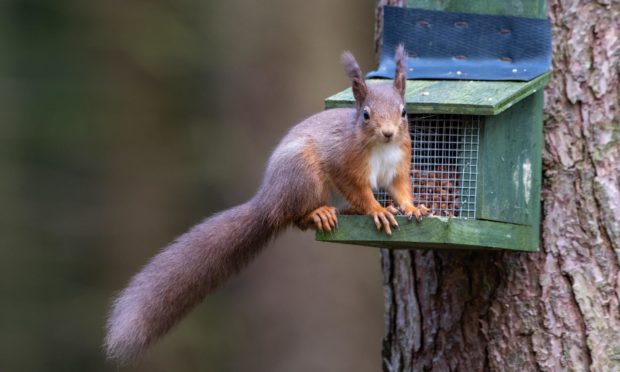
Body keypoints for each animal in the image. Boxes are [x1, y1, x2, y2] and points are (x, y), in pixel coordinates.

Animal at [105, 44, 426, 364]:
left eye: (404, 112)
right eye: (366, 115)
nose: (388, 133)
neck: (382, 148)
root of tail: (268, 201)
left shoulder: (398, 167)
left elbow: (400, 190)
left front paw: (411, 208)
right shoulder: (344, 164)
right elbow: (359, 191)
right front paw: (377, 210)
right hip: (303, 175)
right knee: (297, 217)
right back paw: (320, 213)